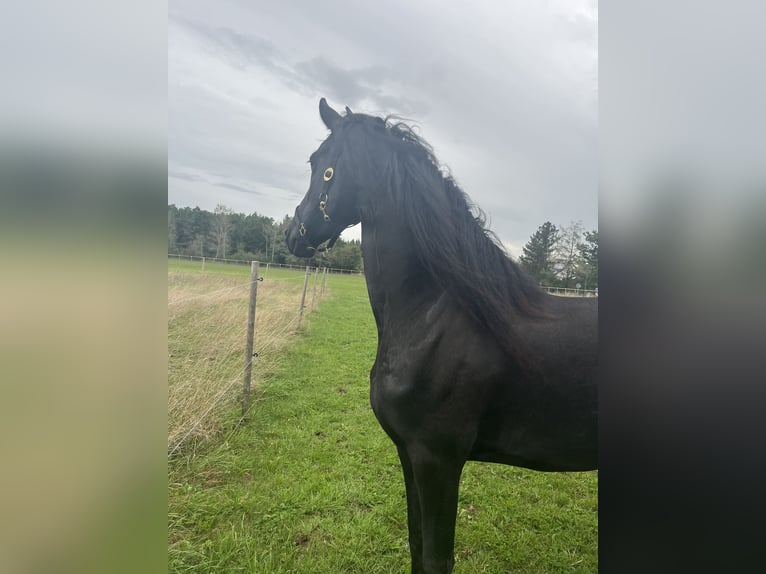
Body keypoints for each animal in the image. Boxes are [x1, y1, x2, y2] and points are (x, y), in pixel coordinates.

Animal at [285, 98, 597, 574]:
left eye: (319, 165)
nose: (291, 234)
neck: (430, 317)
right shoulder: (409, 454)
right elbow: (417, 547)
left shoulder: (438, 460)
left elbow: (435, 557)